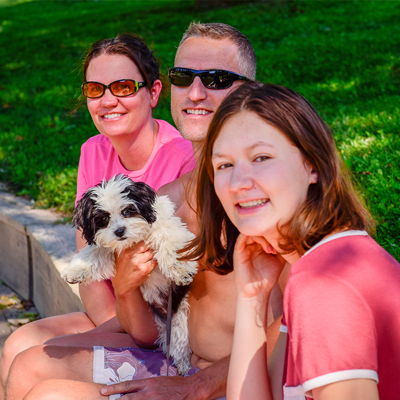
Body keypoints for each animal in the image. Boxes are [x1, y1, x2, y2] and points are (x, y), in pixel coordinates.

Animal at [61, 175, 198, 376]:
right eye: (103, 218)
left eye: (128, 211)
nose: (119, 231)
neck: (134, 240)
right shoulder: (108, 244)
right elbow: (95, 251)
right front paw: (76, 269)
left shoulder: (164, 224)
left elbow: (167, 236)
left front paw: (180, 267)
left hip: (179, 318)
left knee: (179, 342)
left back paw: (183, 366)